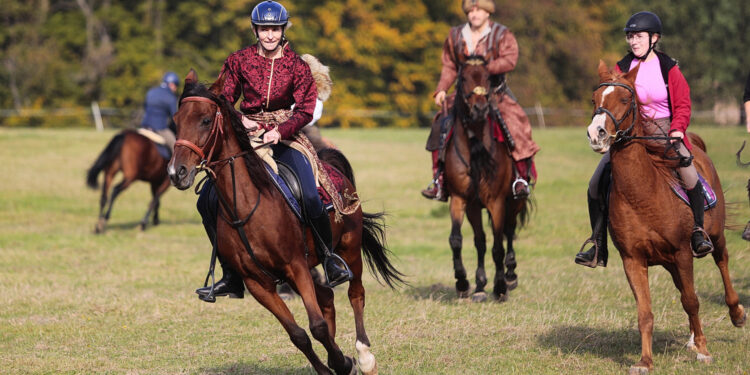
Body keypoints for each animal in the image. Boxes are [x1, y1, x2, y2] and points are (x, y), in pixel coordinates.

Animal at [169, 70, 406, 375]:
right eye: (176, 121)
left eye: (206, 120)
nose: (177, 172)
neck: (250, 205)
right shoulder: (259, 283)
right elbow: (298, 334)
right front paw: (333, 365)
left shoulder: (296, 267)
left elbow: (316, 326)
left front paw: (344, 361)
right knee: (327, 299)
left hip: (349, 249)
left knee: (356, 294)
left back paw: (364, 357)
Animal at [444, 55, 532, 302]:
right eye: (463, 78)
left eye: (487, 78)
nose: (479, 109)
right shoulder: (461, 200)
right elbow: (459, 240)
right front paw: (464, 283)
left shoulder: (497, 202)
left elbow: (498, 246)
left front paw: (500, 286)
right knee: (482, 240)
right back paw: (481, 285)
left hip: (515, 202)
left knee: (508, 233)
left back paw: (510, 276)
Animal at [592, 60, 748, 374]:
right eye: (594, 100)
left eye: (625, 99)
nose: (597, 133)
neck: (643, 194)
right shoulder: (634, 260)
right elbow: (645, 312)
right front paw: (644, 361)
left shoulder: (682, 252)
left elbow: (692, 301)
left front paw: (704, 350)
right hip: (669, 263)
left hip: (714, 237)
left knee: (721, 263)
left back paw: (736, 314)